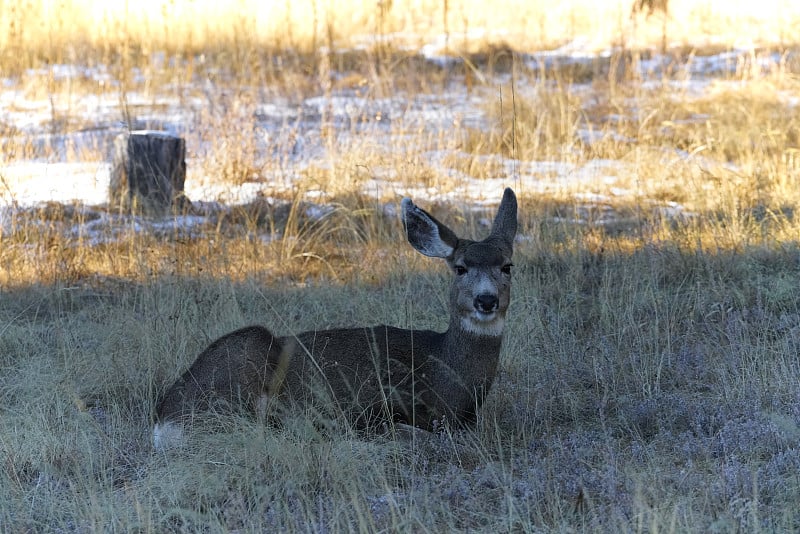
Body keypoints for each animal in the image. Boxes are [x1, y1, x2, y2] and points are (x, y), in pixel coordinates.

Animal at [154, 191, 520, 450]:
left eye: (507, 266)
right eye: (460, 268)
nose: (486, 300)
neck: (445, 374)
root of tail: (164, 420)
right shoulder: (379, 405)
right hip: (245, 362)